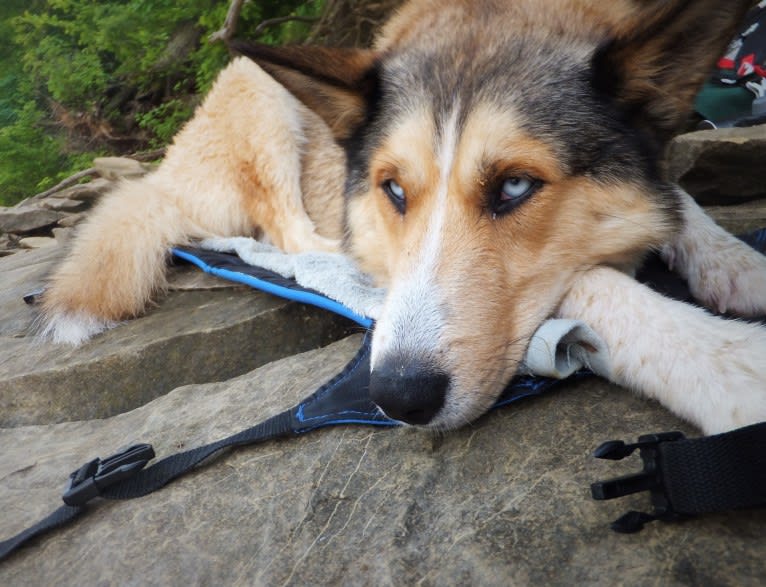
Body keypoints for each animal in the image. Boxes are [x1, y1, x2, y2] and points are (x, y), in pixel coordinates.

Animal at [40, 0, 766, 432]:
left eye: (515, 186)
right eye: (392, 189)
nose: (397, 396)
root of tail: (162, 172)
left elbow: (679, 199)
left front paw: (735, 263)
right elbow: (597, 280)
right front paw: (727, 364)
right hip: (262, 100)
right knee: (285, 226)